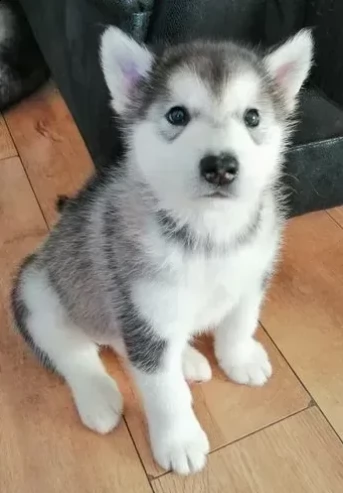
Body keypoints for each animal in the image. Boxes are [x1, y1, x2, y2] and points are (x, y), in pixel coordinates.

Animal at [12, 26, 314, 472]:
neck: (209, 234)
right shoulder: (144, 309)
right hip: (36, 289)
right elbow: (162, 391)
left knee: (122, 343)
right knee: (72, 351)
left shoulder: (251, 274)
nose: (220, 166)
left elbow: (240, 321)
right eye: (177, 115)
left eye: (253, 117)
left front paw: (239, 358)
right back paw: (98, 397)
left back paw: (186, 359)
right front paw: (179, 441)